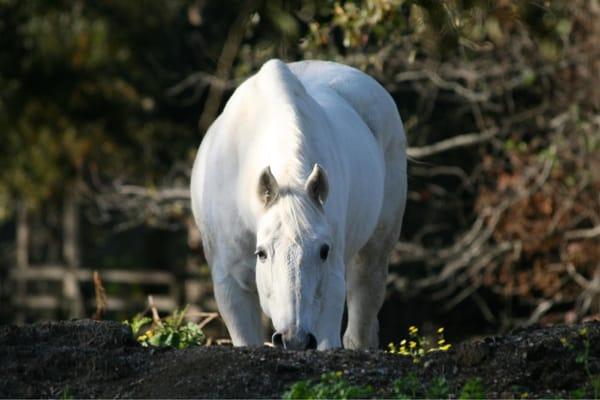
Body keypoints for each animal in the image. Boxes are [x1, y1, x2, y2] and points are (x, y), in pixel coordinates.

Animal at [192, 59, 408, 350]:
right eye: (262, 253)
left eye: (324, 251)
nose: (294, 339)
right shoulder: (230, 284)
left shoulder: (331, 283)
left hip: (374, 253)